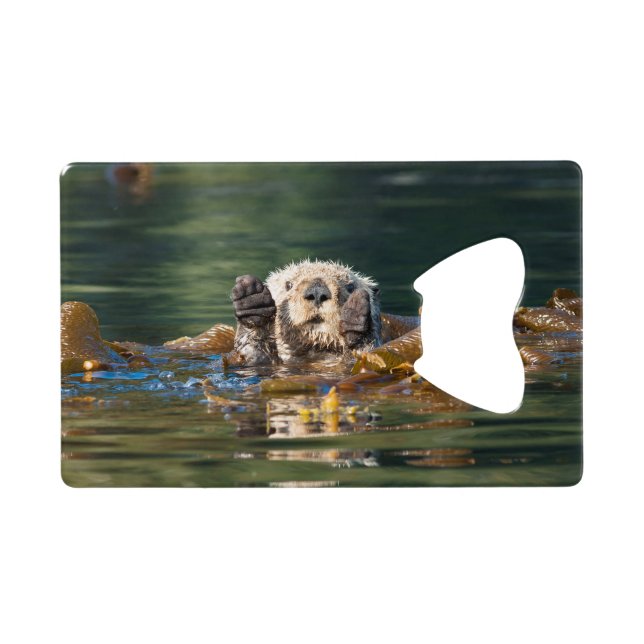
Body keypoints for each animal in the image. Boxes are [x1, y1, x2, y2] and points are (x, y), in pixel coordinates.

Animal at [231, 260, 382, 364]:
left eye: (350, 286)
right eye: (288, 285)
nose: (317, 291)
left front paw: (355, 316)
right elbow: (252, 352)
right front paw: (252, 299)